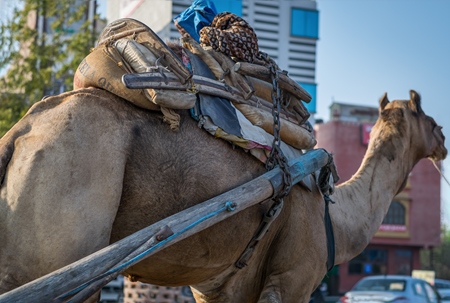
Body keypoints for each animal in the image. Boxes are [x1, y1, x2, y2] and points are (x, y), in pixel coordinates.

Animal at [0, 86, 444, 302]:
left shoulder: (222, 288)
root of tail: (19, 133)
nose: (444, 142)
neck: (336, 216)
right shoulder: (293, 279)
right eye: (433, 121)